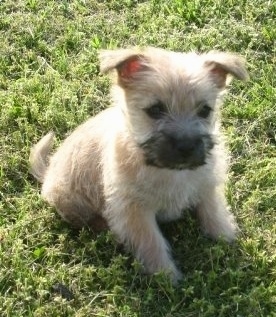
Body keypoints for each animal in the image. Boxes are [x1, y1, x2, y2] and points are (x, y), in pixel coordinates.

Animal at [29, 45, 248, 280]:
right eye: (155, 110)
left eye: (205, 110)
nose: (186, 146)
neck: (168, 170)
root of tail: (48, 174)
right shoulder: (134, 211)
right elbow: (151, 242)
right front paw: (165, 275)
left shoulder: (206, 185)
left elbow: (213, 211)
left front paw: (226, 237)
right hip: (68, 197)